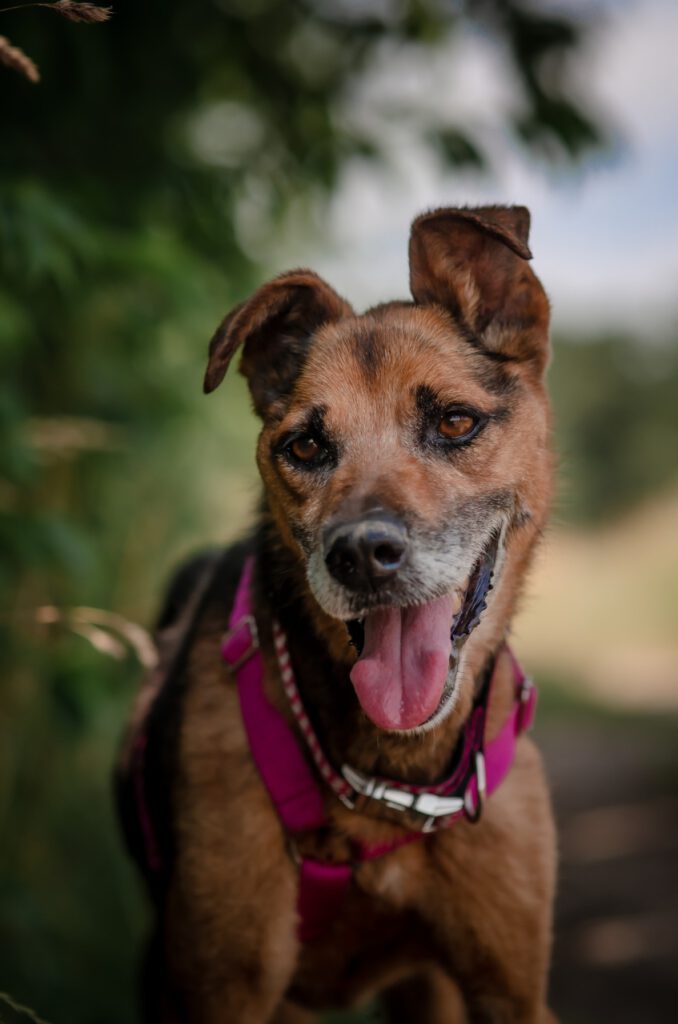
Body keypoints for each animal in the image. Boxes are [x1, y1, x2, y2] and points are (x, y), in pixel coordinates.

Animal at [119, 205, 561, 1024]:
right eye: (305, 444)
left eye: (455, 423)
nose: (358, 554)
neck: (389, 781)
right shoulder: (217, 984)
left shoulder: (509, 989)